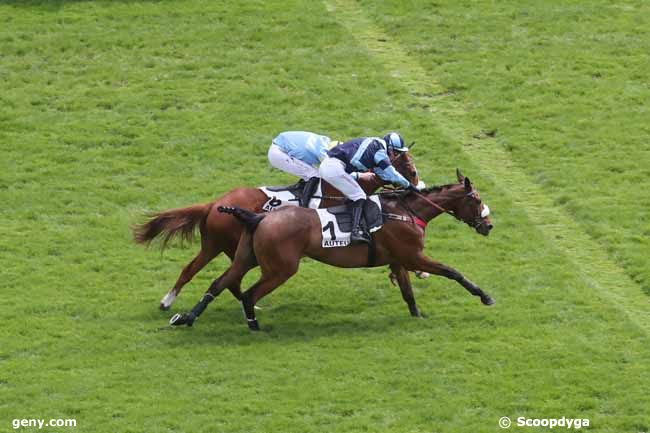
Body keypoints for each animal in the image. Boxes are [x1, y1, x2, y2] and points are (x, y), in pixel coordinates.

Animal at [132, 150, 418, 308]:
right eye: (409, 167)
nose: (417, 183)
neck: (336, 188)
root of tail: (213, 204)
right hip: (232, 246)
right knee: (231, 278)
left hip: (215, 245)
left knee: (194, 269)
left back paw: (167, 301)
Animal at [170, 167, 494, 330]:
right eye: (477, 199)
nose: (488, 225)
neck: (405, 210)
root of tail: (257, 217)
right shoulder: (413, 256)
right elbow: (452, 272)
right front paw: (485, 296)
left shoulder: (398, 259)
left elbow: (407, 292)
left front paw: (417, 316)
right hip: (280, 268)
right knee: (248, 293)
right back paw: (253, 325)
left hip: (245, 257)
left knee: (218, 283)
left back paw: (186, 317)